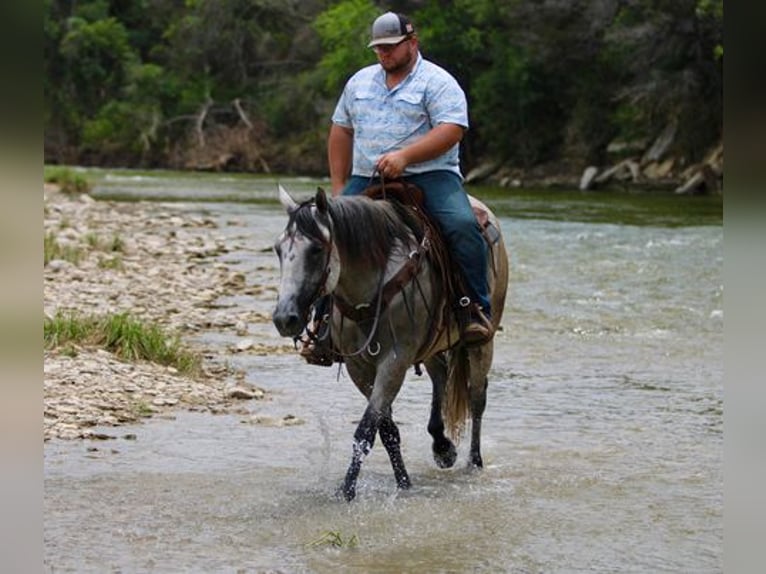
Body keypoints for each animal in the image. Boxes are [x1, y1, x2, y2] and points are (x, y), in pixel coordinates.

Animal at [272, 184, 509, 501]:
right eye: (279, 249)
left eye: (316, 249)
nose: (284, 318)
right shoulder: (358, 366)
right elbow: (385, 429)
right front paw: (404, 482)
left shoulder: (394, 361)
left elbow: (365, 429)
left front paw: (346, 491)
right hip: (432, 344)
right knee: (440, 376)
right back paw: (442, 447)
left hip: (483, 343)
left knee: (477, 397)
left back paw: (474, 463)